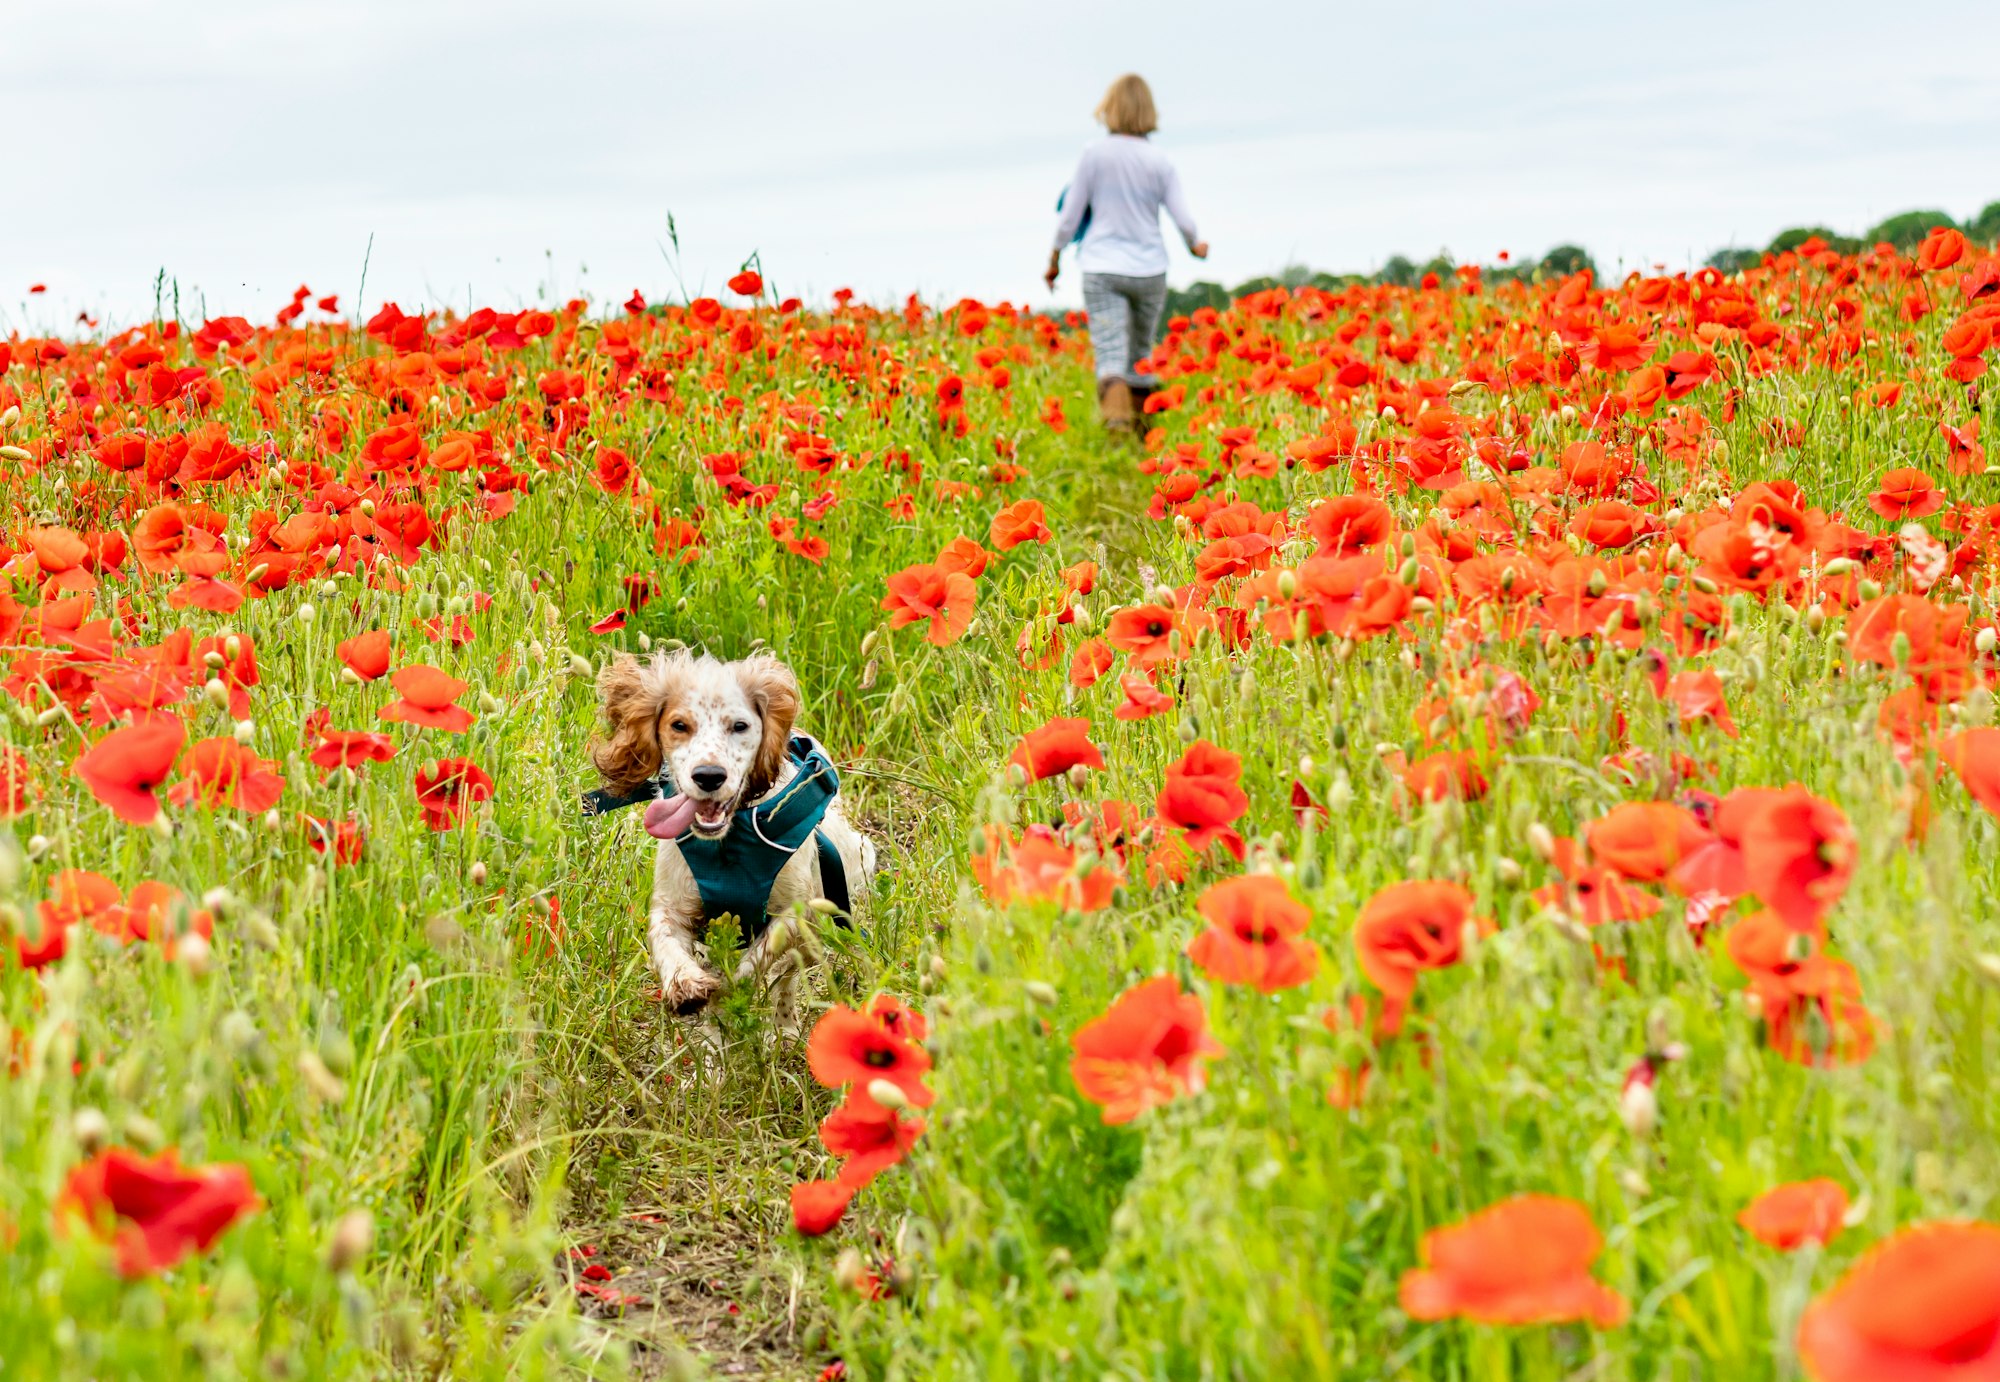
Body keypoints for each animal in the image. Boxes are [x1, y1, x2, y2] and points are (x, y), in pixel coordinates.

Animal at [588, 652, 880, 1024]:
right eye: (679, 725)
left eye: (739, 726)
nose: (709, 775)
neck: (729, 844)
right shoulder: (672, 905)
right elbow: (666, 940)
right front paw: (687, 985)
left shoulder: (796, 913)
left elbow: (752, 966)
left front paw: (725, 996)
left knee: (788, 978)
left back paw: (784, 1027)